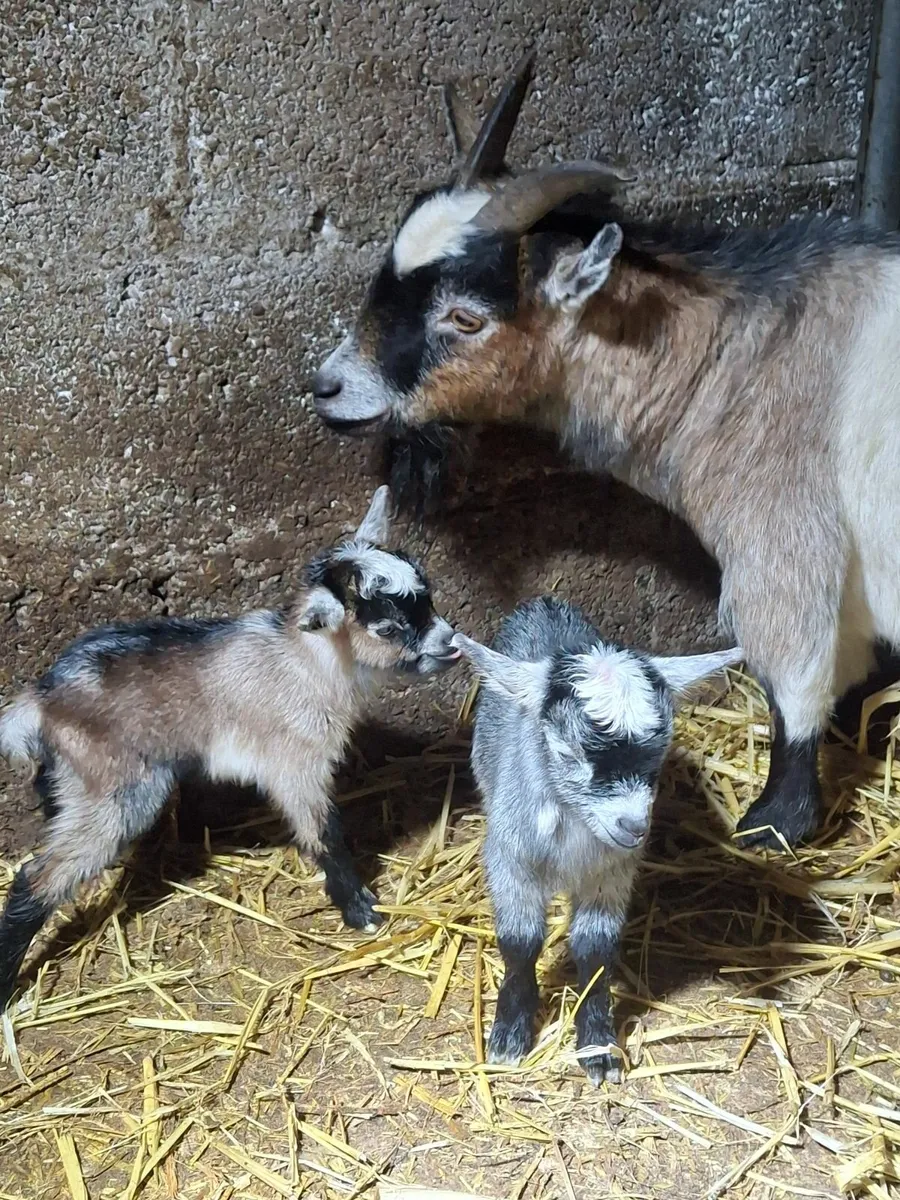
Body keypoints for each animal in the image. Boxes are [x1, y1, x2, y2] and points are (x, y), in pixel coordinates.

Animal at [0, 487, 460, 1011]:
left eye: (428, 596)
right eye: (387, 627)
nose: (451, 643)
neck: (308, 661)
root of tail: (41, 699)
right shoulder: (297, 763)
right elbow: (323, 832)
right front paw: (361, 910)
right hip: (117, 790)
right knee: (36, 878)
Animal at [310, 52, 900, 850]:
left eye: (465, 317)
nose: (328, 387)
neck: (742, 357)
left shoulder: (784, 536)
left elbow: (797, 675)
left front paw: (775, 822)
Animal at [452, 596, 741, 1083]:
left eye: (660, 752)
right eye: (566, 753)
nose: (633, 826)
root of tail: (544, 602)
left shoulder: (612, 873)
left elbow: (596, 949)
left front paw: (598, 1048)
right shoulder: (510, 859)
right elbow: (520, 942)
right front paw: (509, 1036)